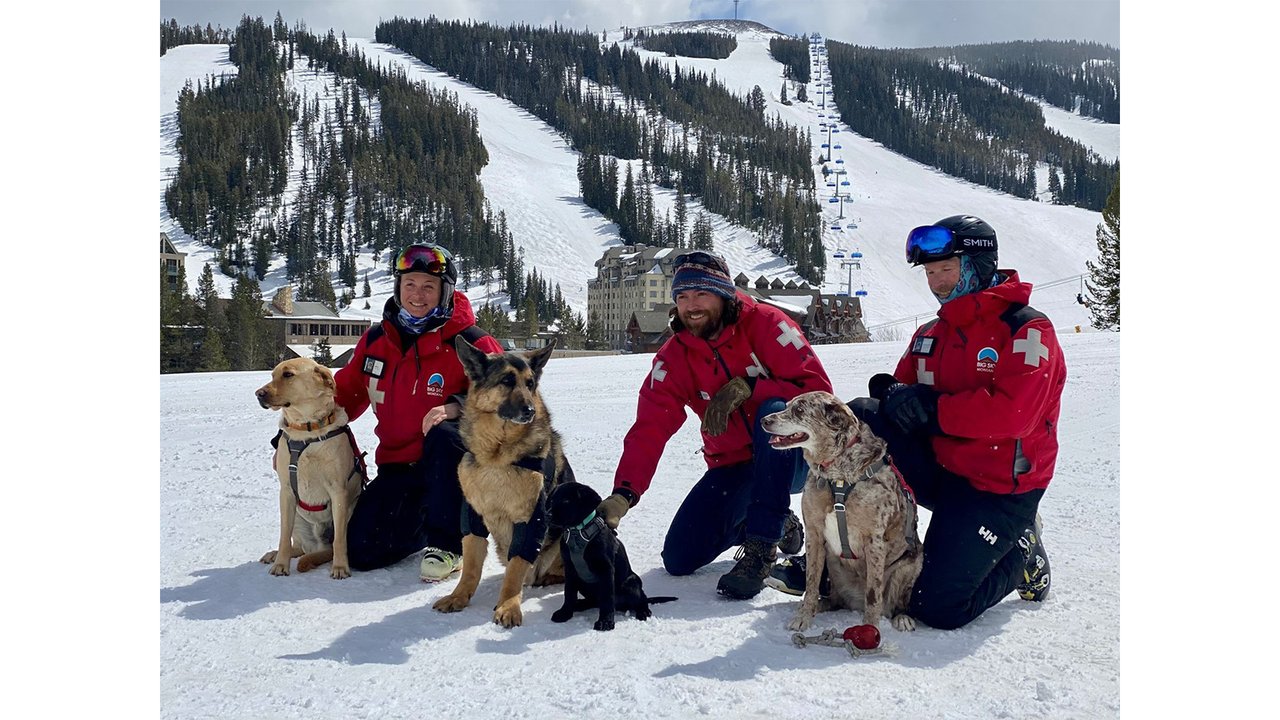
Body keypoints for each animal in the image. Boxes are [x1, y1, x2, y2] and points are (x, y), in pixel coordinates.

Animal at [254, 356, 366, 576]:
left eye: (288, 374)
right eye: (273, 375)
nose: (259, 394)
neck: (306, 431)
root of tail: (318, 543)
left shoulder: (338, 492)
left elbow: (340, 541)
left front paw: (340, 567)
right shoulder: (286, 491)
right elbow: (283, 538)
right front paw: (280, 565)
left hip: (350, 509)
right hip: (298, 518)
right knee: (297, 546)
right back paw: (273, 555)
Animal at [432, 335, 573, 622]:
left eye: (530, 384)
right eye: (507, 381)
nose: (529, 410)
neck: (497, 456)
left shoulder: (531, 518)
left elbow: (517, 566)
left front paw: (508, 605)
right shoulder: (472, 516)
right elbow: (471, 565)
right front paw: (458, 597)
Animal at [545, 481, 675, 627]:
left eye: (566, 501)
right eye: (552, 500)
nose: (547, 515)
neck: (578, 533)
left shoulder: (606, 569)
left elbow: (607, 598)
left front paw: (605, 622)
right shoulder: (570, 569)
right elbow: (569, 593)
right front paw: (565, 612)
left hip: (631, 582)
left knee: (641, 599)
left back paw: (643, 611)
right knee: (595, 601)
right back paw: (579, 604)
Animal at [757, 389, 921, 630]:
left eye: (799, 410)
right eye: (786, 406)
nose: (764, 421)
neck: (836, 476)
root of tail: (854, 603)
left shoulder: (874, 541)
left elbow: (873, 596)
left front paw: (870, 629)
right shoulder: (814, 534)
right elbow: (811, 583)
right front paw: (804, 617)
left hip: (911, 564)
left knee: (896, 602)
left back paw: (902, 617)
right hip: (834, 565)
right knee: (832, 599)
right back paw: (819, 605)